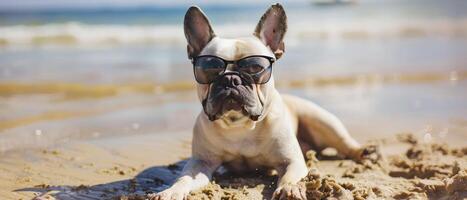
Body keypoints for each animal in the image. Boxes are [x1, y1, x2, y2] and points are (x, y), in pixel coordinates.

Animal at [152, 3, 374, 200]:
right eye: (210, 69)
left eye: (255, 68)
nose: (230, 79)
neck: (239, 125)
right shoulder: (201, 163)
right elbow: (184, 179)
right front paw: (171, 191)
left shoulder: (290, 161)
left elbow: (289, 177)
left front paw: (289, 189)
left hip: (322, 120)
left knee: (344, 142)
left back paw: (364, 152)